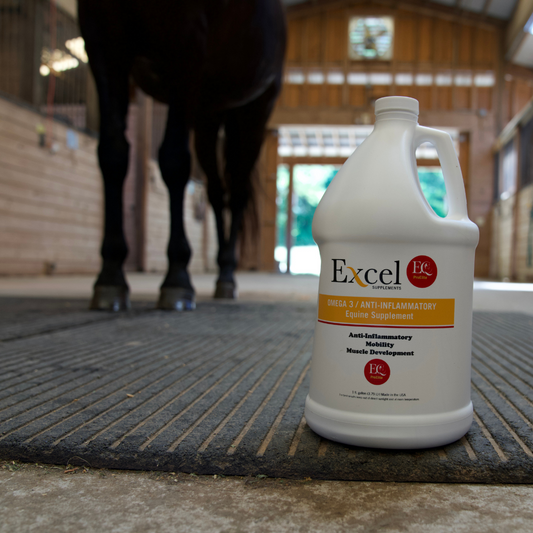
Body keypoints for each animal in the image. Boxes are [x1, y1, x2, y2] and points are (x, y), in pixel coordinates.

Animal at [77, 0, 284, 310]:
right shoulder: (101, 33)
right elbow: (113, 153)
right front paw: (111, 276)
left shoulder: (187, 41)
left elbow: (174, 160)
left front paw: (177, 278)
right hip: (209, 114)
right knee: (216, 193)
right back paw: (221, 274)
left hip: (254, 111)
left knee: (237, 194)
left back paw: (227, 275)